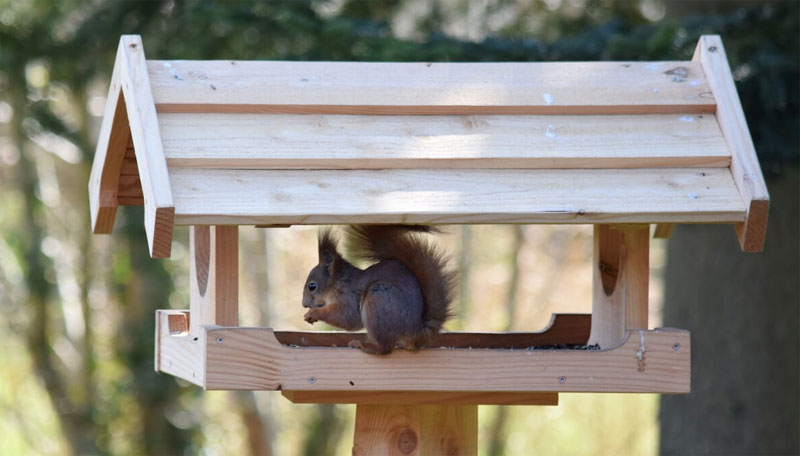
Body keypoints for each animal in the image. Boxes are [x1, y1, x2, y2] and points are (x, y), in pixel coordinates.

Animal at [302, 226, 456, 354]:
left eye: (312, 286)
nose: (304, 304)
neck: (337, 282)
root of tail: (417, 331)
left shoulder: (348, 296)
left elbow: (347, 317)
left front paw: (313, 313)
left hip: (378, 301)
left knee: (385, 348)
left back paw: (364, 345)